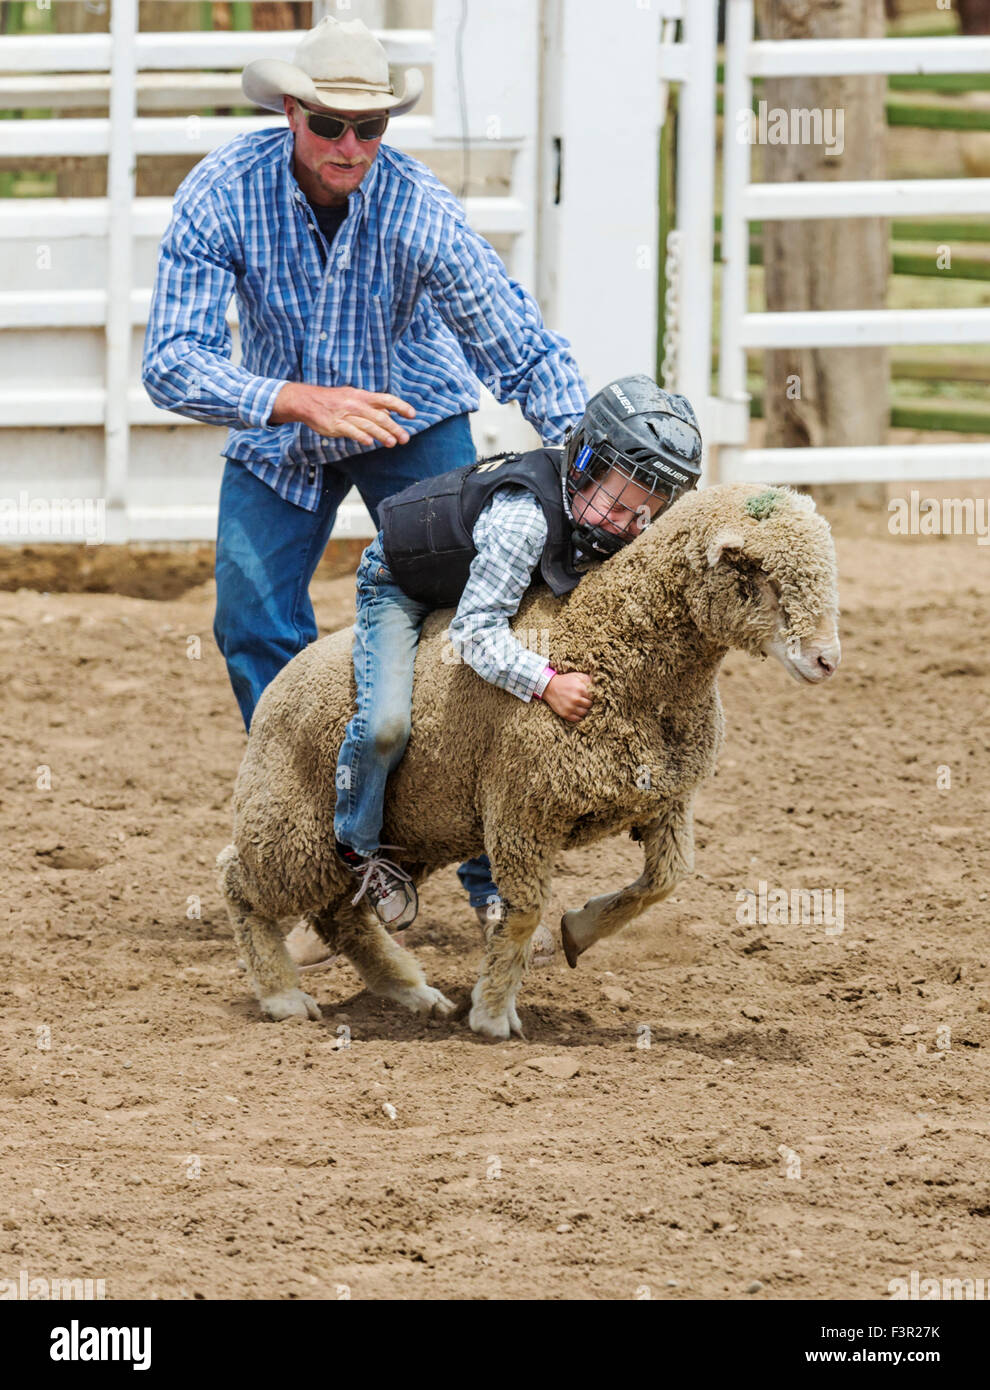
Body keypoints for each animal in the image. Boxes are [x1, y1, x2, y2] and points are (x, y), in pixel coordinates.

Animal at [216, 482, 840, 1040]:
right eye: (758, 573)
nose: (827, 660)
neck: (612, 642)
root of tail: (278, 685)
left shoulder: (667, 799)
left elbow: (663, 881)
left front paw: (578, 932)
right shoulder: (523, 810)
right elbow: (521, 913)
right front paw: (493, 1014)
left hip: (408, 834)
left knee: (341, 916)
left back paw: (412, 992)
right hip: (294, 827)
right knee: (239, 882)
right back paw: (283, 995)